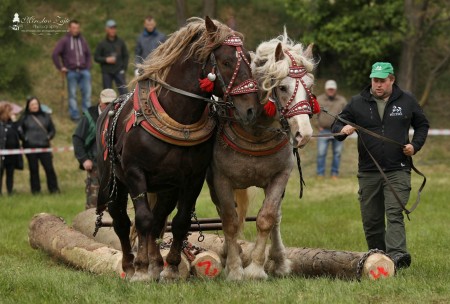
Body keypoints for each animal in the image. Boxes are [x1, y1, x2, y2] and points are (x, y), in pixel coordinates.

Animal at [96, 17, 258, 282]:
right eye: (226, 62)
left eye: (248, 59)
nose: (251, 110)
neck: (177, 115)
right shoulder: (135, 173)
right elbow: (141, 219)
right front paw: (141, 269)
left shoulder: (193, 178)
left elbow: (180, 221)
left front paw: (170, 266)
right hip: (113, 181)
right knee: (122, 220)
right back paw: (130, 265)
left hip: (167, 187)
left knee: (159, 219)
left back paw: (155, 262)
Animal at [207, 31, 316, 280]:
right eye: (283, 87)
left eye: (309, 85)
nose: (304, 133)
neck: (255, 132)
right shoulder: (220, 179)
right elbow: (229, 221)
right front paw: (235, 269)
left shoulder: (280, 176)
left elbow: (267, 218)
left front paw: (256, 268)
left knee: (275, 216)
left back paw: (279, 260)